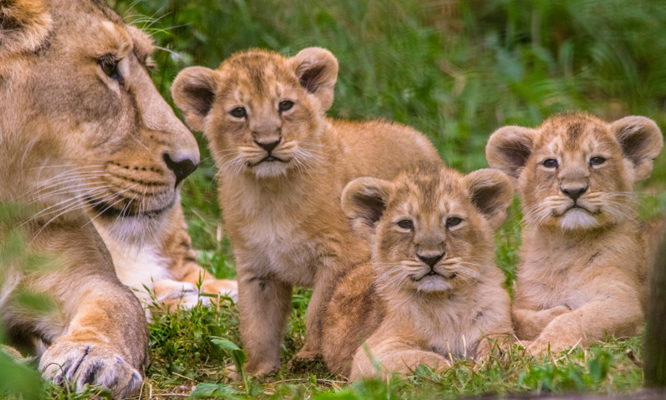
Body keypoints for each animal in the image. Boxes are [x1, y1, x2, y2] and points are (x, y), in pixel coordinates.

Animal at [0, 0, 205, 396]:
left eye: (147, 64)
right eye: (109, 66)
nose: (189, 164)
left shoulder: (89, 277)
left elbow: (117, 308)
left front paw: (92, 358)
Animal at [171, 48, 441, 377]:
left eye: (285, 105)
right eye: (238, 112)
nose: (269, 142)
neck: (270, 195)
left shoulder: (341, 257)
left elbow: (319, 311)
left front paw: (309, 355)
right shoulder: (256, 267)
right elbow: (257, 324)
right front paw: (255, 370)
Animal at [320, 163, 514, 379]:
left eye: (453, 221)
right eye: (405, 224)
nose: (430, 257)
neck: (449, 303)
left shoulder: (497, 329)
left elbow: (502, 347)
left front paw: (492, 363)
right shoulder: (372, 353)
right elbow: (426, 359)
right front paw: (463, 369)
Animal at [486, 112, 664, 354]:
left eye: (596, 160)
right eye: (550, 163)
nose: (574, 190)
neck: (567, 246)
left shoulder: (623, 302)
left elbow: (572, 319)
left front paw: (538, 348)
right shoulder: (529, 299)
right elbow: (517, 317)